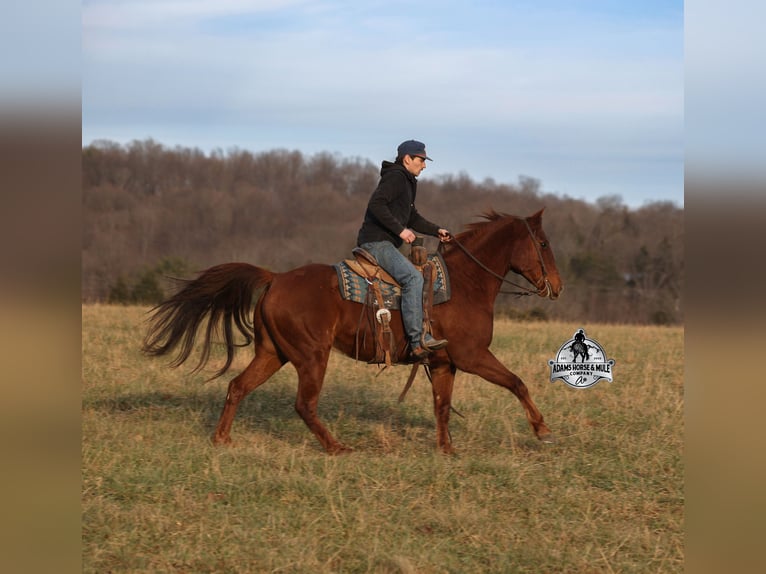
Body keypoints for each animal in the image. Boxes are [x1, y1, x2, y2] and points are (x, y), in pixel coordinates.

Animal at [142, 208, 563, 454]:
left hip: (273, 353)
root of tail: (276, 278)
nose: (557, 286)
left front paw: (447, 450)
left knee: (237, 387)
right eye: (543, 242)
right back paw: (336, 447)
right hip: (312, 356)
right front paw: (543, 430)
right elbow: (517, 382)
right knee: (304, 404)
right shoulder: (472, 356)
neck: (464, 284)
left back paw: (222, 439)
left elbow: (442, 407)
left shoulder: (445, 364)